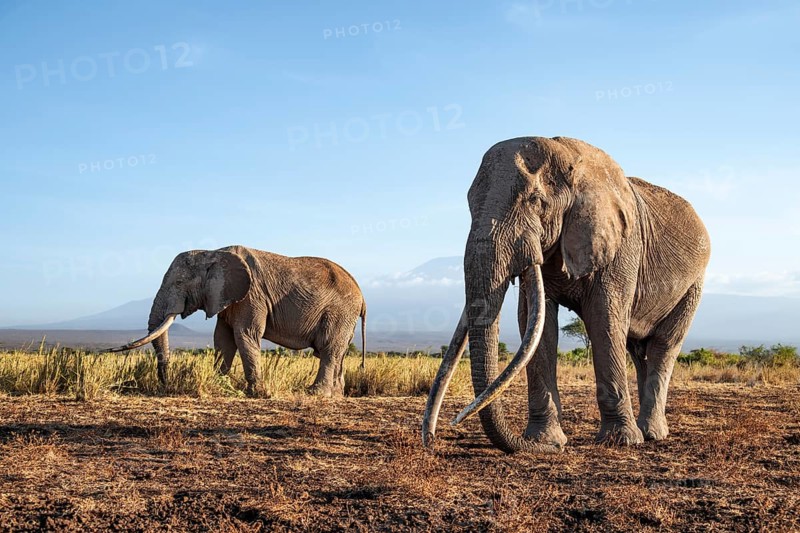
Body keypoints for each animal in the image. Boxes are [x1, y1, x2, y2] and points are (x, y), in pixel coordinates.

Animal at [110, 245, 367, 397]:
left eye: (179, 283)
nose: (166, 383)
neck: (212, 253)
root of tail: (363, 297)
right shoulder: (226, 297)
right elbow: (222, 340)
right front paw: (219, 383)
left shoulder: (251, 295)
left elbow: (245, 334)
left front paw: (258, 393)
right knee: (337, 352)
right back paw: (335, 395)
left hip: (339, 312)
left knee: (328, 349)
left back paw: (314, 393)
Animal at [422, 136, 710, 453]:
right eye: (470, 205)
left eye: (536, 201)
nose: (437, 434)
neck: (570, 157)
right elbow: (536, 322)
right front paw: (544, 441)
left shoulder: (622, 246)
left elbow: (604, 319)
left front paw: (620, 441)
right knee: (638, 350)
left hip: (694, 284)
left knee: (664, 346)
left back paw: (651, 434)